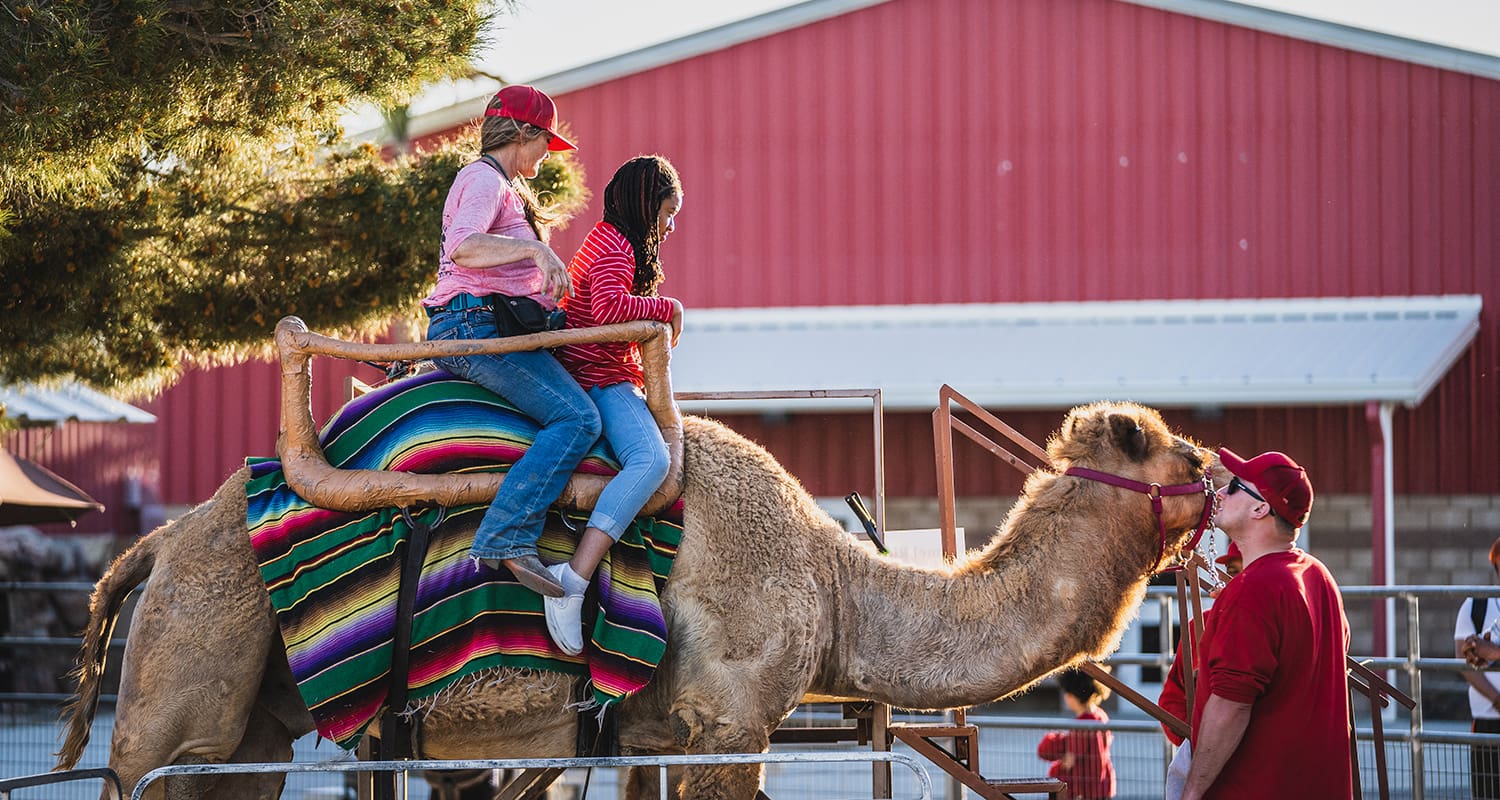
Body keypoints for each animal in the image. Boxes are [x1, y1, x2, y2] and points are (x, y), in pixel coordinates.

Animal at [55, 396, 1206, 792]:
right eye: (1188, 457)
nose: (1235, 477)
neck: (832, 581)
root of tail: (159, 545)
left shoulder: (658, 731)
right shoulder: (728, 723)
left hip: (242, 731)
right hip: (174, 700)